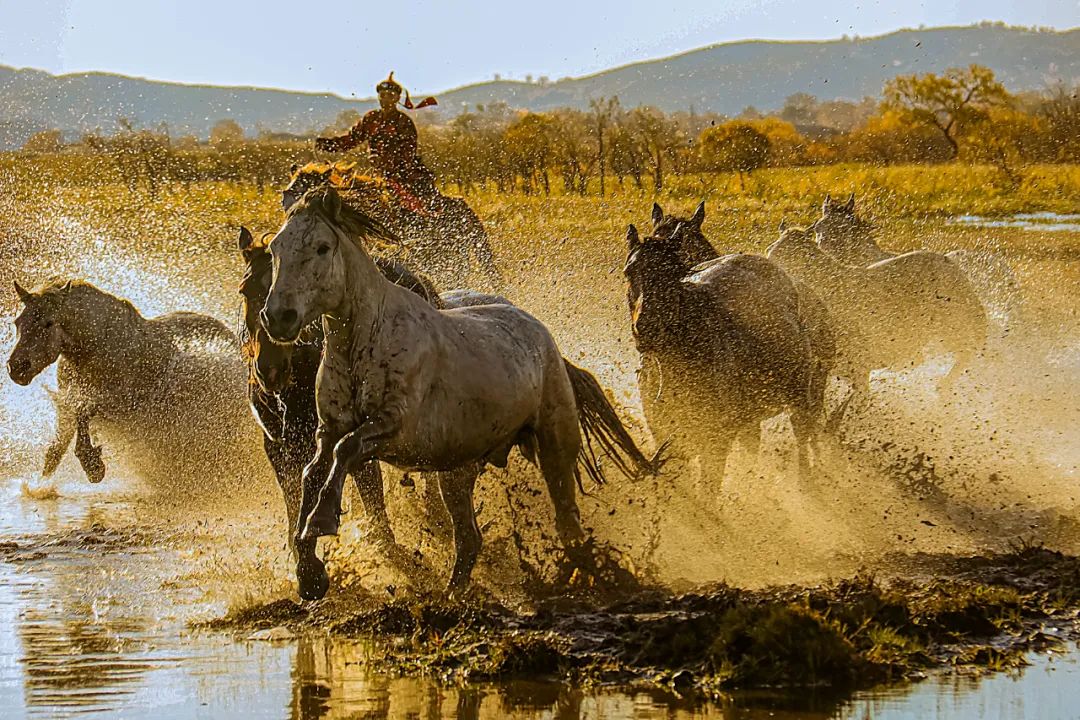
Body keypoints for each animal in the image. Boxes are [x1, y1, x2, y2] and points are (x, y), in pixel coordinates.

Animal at [260, 187, 617, 604]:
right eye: (276, 247)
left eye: (321, 247)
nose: (278, 317)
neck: (367, 338)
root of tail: (542, 335)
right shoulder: (328, 429)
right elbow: (312, 472)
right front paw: (310, 571)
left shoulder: (392, 425)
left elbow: (345, 451)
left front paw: (321, 520)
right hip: (457, 473)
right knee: (470, 539)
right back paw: (452, 597)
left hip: (555, 445)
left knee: (567, 520)